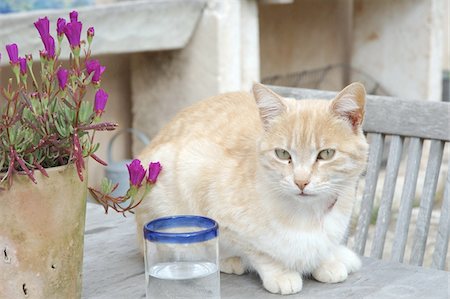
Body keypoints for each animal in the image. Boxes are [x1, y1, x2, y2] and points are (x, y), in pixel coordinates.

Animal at [136, 82, 370, 296]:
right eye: (282, 154)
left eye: (326, 154)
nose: (301, 181)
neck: (309, 214)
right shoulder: (209, 196)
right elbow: (258, 250)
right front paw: (280, 272)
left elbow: (323, 247)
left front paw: (326, 261)